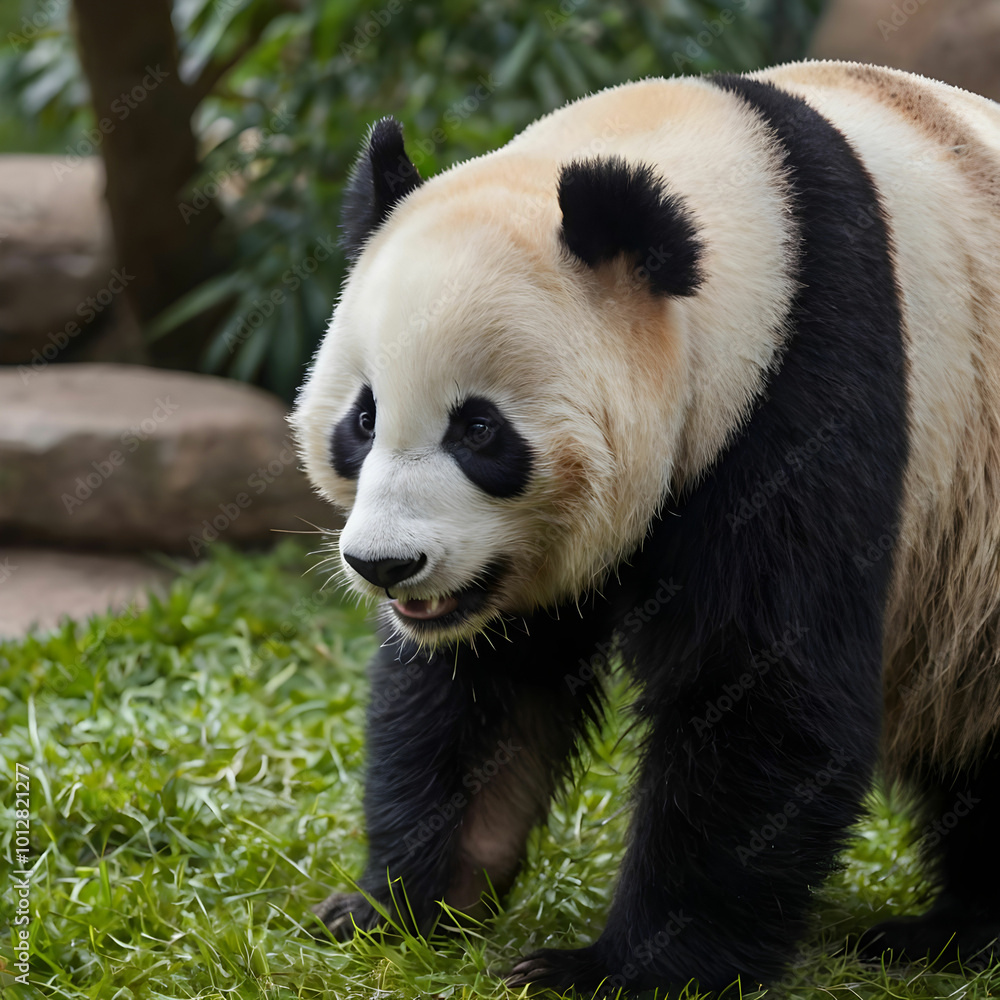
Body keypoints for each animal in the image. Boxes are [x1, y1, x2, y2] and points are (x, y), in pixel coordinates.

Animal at [291, 60, 1000, 994]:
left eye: (479, 431)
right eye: (363, 419)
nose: (385, 565)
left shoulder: (812, 384)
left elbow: (762, 688)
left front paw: (618, 967)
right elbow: (478, 690)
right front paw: (397, 906)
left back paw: (952, 933)